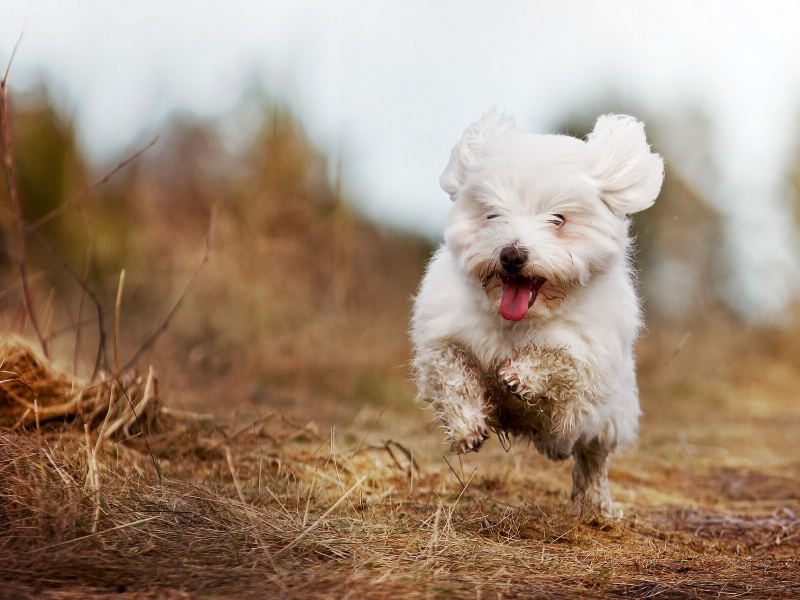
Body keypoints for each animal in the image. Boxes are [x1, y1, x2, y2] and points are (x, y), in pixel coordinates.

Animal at [412, 112, 664, 516]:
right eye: (492, 214)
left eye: (558, 219)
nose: (512, 254)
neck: (520, 321)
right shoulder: (444, 336)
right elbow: (452, 375)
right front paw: (467, 427)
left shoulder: (586, 360)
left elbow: (561, 363)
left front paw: (521, 376)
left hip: (611, 418)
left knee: (592, 461)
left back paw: (596, 506)